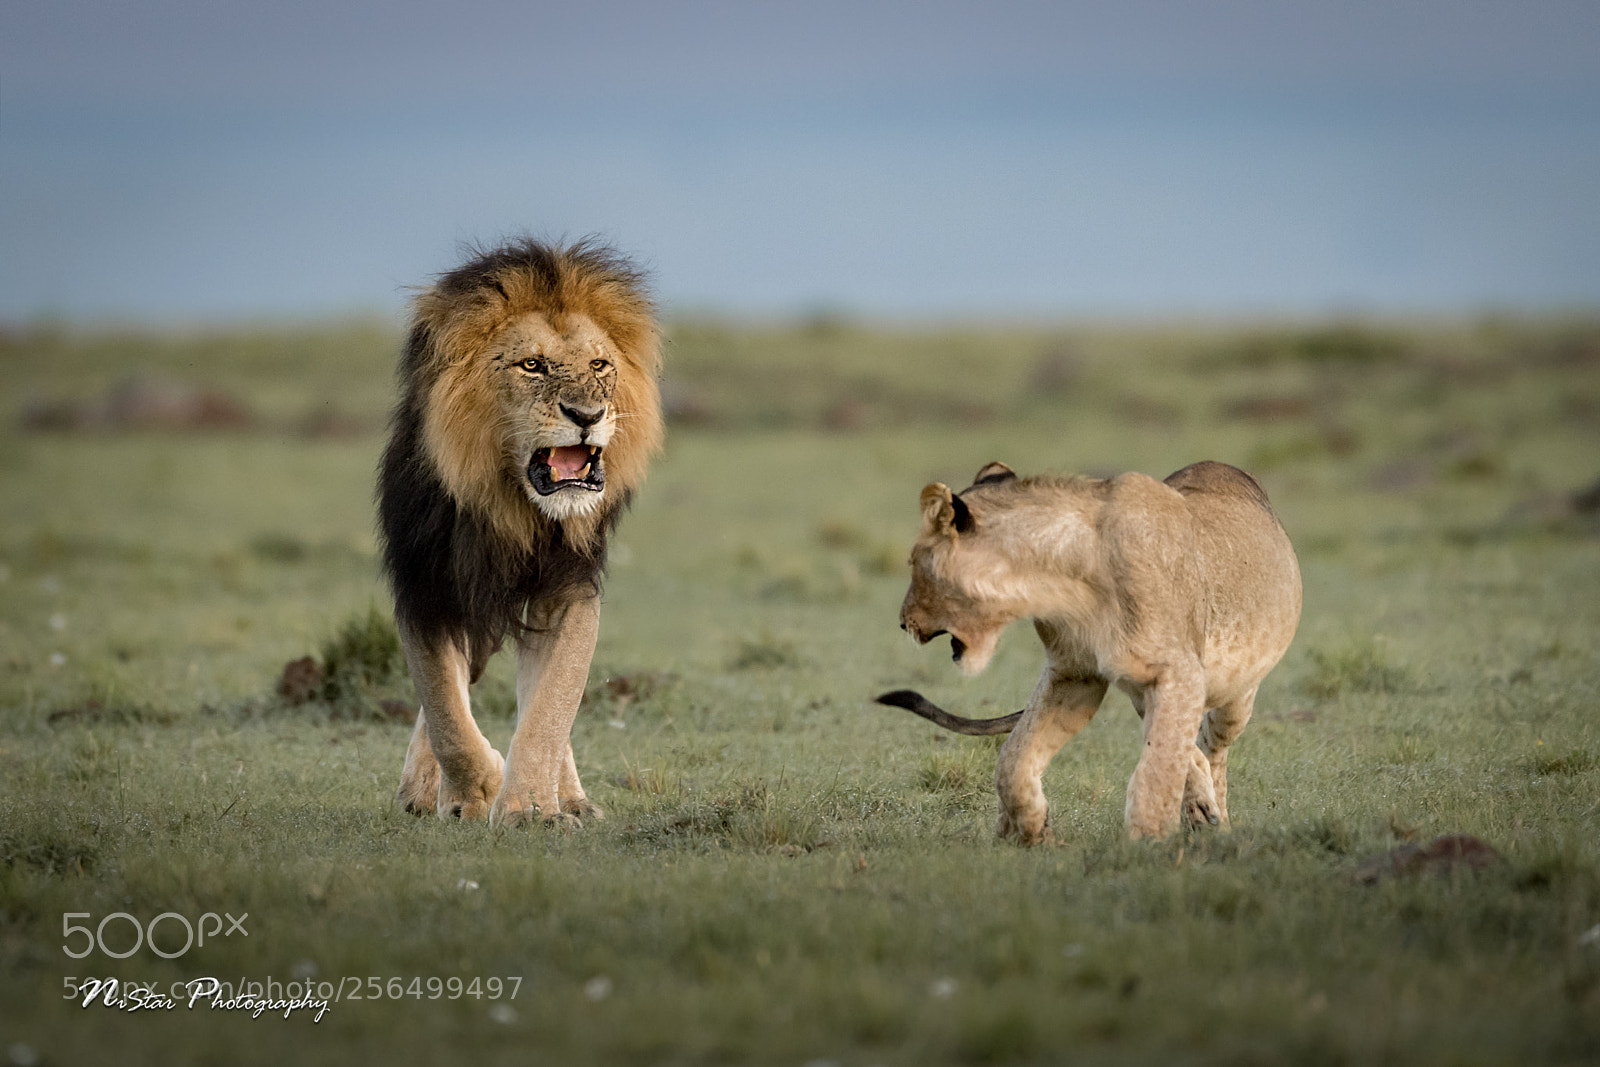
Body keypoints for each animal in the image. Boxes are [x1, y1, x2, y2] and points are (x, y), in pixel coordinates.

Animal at [377, 238, 662, 827]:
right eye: (532, 365)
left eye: (599, 365)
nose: (588, 414)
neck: (516, 509)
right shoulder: (426, 586)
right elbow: (445, 711)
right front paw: (478, 788)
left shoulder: (568, 589)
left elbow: (552, 706)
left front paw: (532, 810)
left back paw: (569, 797)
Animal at [878, 460, 1301, 844]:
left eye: (914, 564)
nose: (902, 622)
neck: (1061, 579)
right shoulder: (1074, 674)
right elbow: (1014, 759)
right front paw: (1033, 833)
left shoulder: (1178, 672)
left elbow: (1157, 773)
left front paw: (1149, 847)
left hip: (1237, 694)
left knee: (1212, 745)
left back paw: (1215, 819)